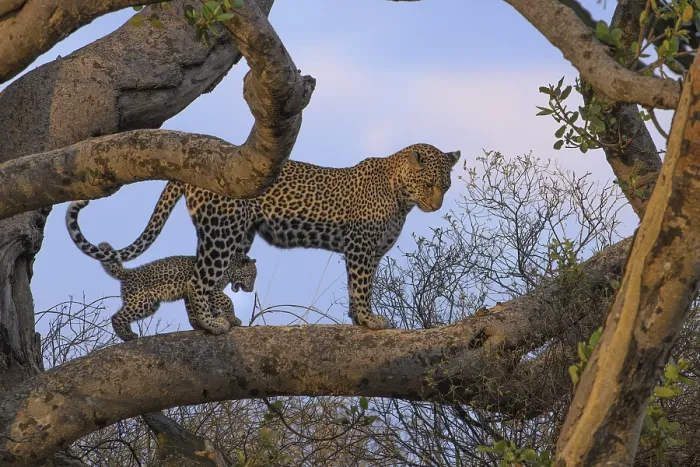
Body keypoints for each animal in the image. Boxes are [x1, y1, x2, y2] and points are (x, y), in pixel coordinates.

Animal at [66, 143, 461, 335]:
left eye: (446, 186)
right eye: (429, 183)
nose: (436, 206)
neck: (401, 195)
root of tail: (193, 172)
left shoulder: (372, 253)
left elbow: (359, 287)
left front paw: (357, 319)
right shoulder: (362, 249)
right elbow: (362, 287)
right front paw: (367, 319)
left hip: (232, 237)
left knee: (209, 278)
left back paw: (213, 321)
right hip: (223, 232)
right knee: (198, 281)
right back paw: (210, 325)